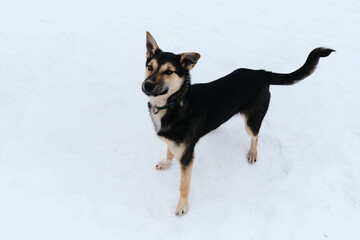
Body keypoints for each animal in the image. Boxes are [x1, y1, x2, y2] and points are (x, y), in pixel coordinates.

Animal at [141, 31, 334, 217]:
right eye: (150, 67)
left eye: (169, 72)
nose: (147, 85)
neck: (173, 103)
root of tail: (261, 73)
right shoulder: (173, 142)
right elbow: (169, 150)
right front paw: (166, 162)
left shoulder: (187, 156)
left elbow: (183, 186)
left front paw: (182, 207)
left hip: (251, 120)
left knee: (255, 135)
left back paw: (252, 153)